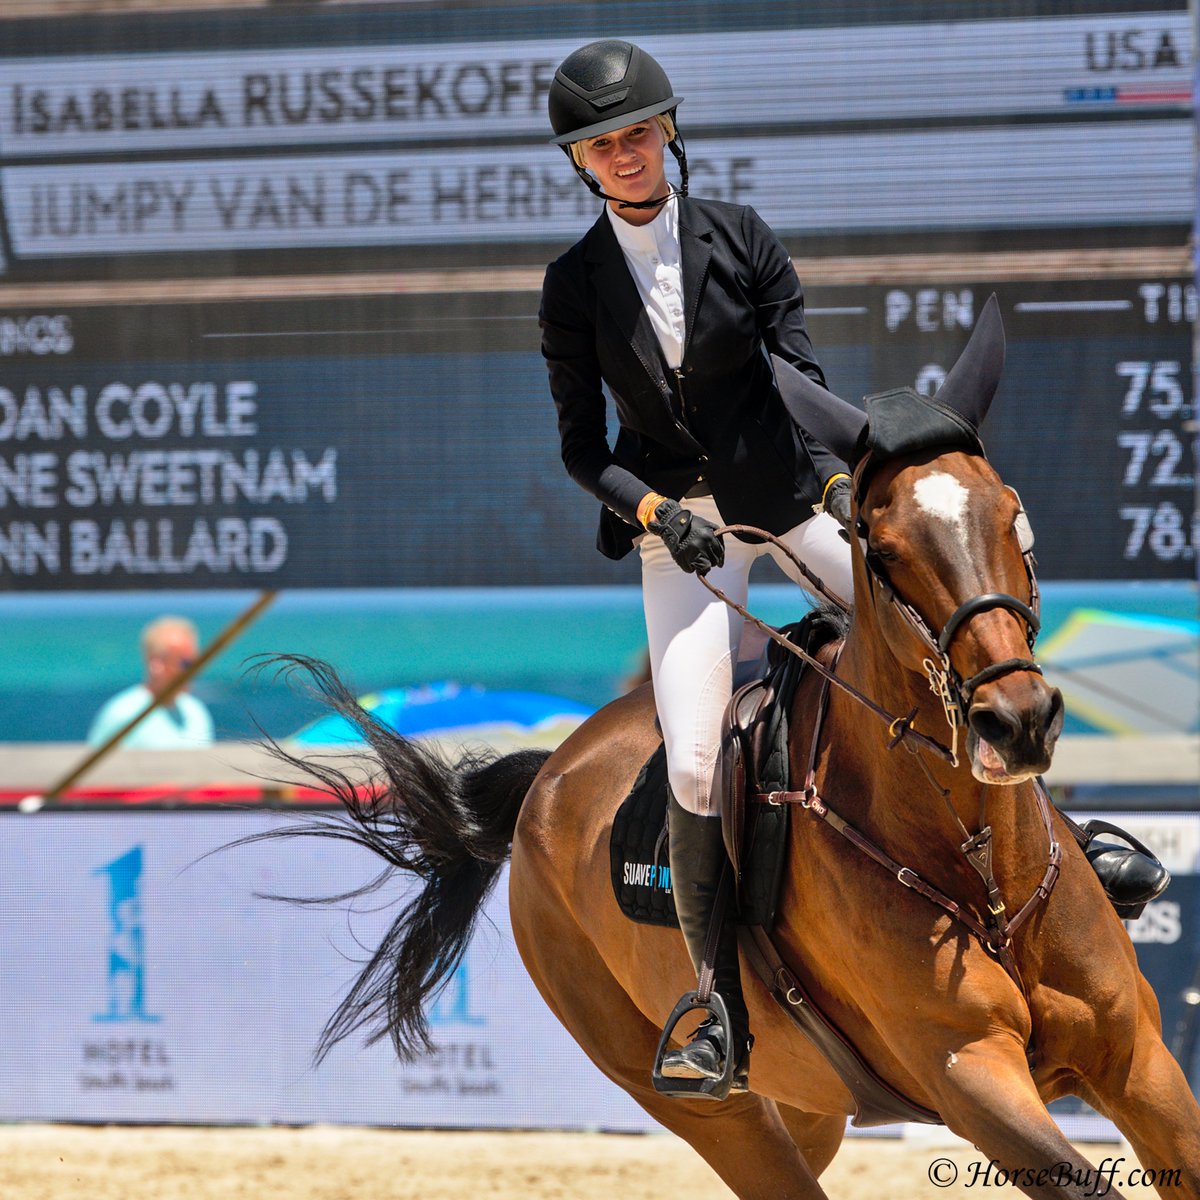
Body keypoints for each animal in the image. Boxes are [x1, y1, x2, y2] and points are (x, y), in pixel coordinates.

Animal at [264, 296, 1200, 1199]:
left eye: (1013, 515)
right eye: (882, 549)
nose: (1018, 719)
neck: (976, 856)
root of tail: (550, 775)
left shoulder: (1141, 1064)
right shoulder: (970, 1078)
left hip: (810, 1100)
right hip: (711, 1108)